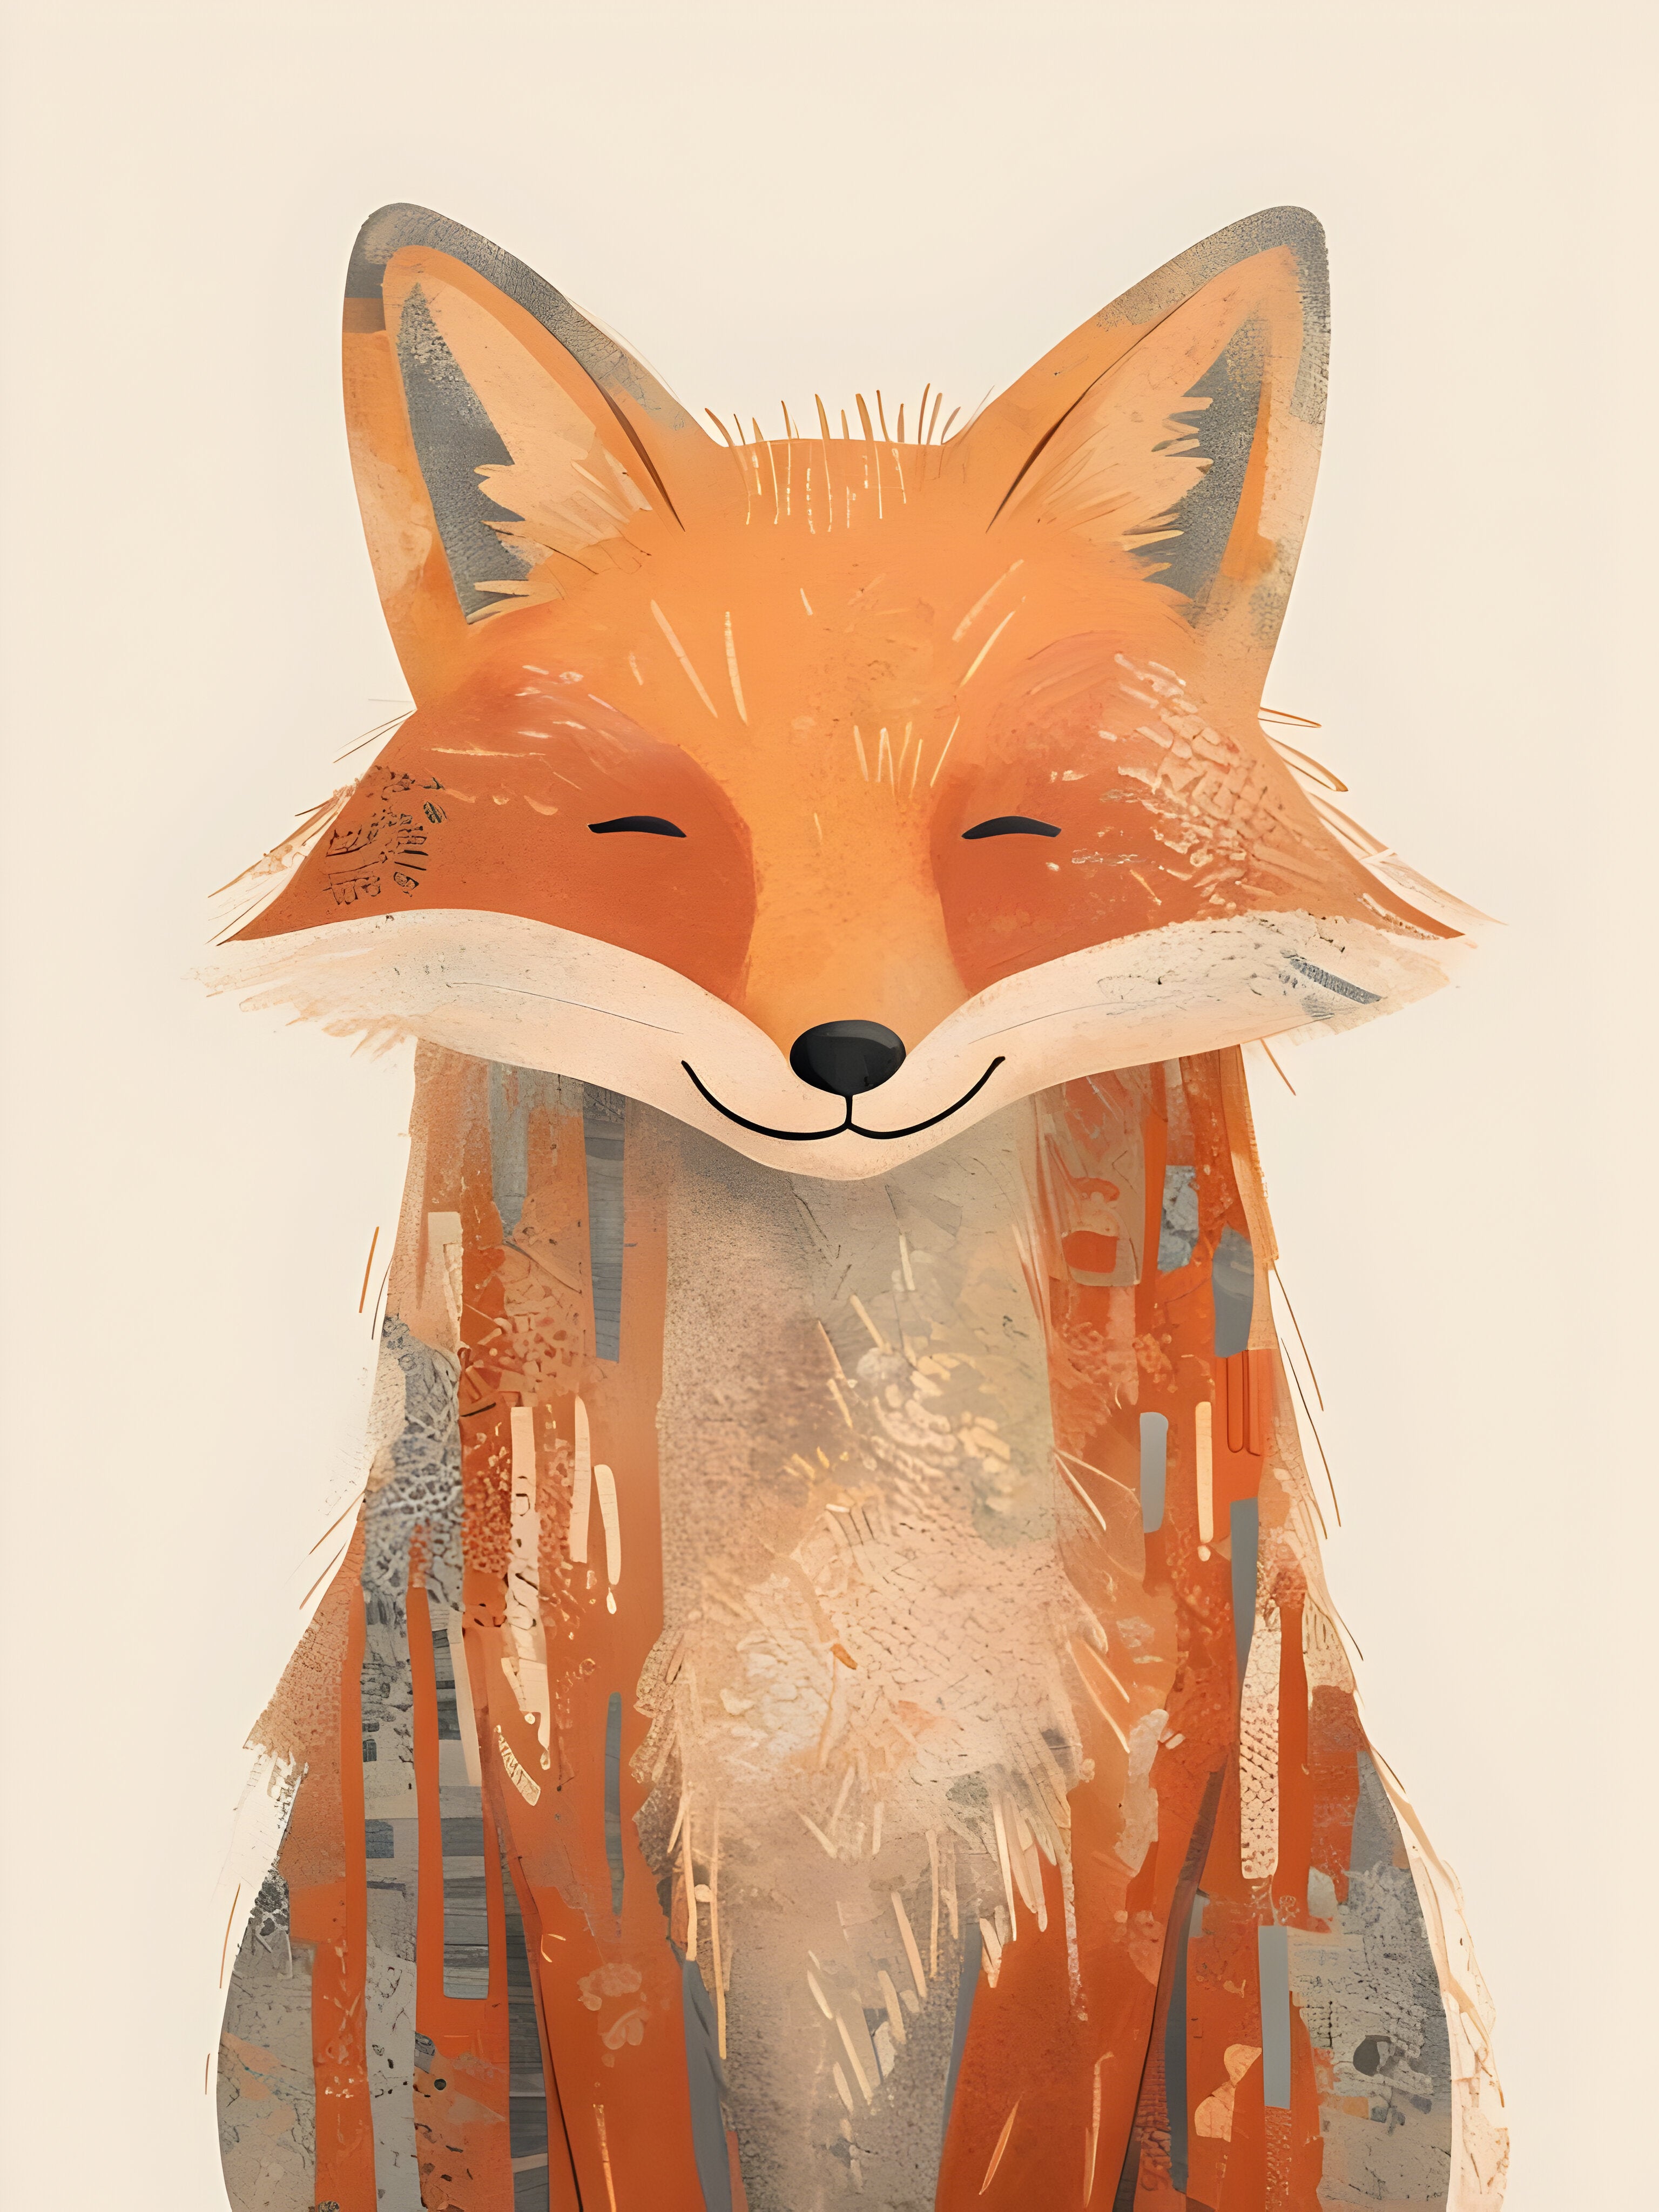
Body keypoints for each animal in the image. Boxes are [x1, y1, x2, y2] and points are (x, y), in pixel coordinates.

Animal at [208, 202, 1508, 2212]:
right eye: (651, 837)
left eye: (1007, 836)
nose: (846, 1053)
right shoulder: (572, 1791)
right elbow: (646, 2141)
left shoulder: (1105, 1798)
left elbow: (1024, 2144)